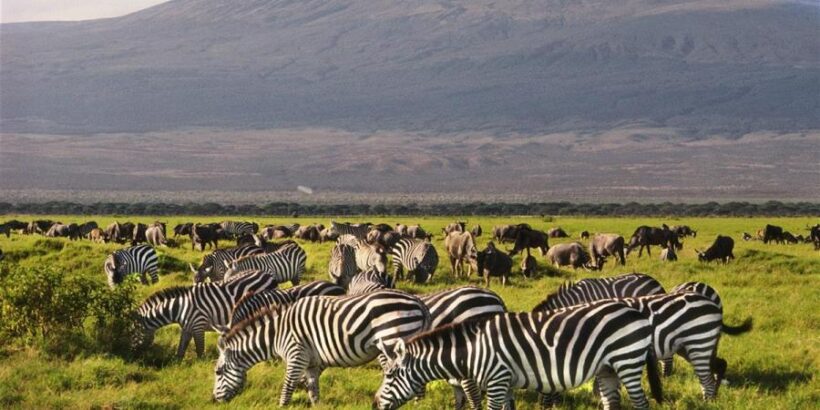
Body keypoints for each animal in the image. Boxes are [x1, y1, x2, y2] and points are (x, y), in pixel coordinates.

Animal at [134, 270, 279, 358]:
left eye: (132, 332)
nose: (135, 355)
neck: (179, 307)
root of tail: (269, 275)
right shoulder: (187, 328)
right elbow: (180, 351)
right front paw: (177, 366)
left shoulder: (198, 325)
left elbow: (200, 351)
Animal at [212, 290, 431, 404]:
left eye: (218, 372)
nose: (213, 399)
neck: (276, 334)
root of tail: (416, 300)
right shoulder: (311, 363)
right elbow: (313, 389)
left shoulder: (296, 354)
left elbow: (287, 387)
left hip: (394, 339)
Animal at [374, 301, 663, 410]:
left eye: (390, 375)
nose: (374, 405)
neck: (474, 349)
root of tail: (635, 311)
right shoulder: (507, 382)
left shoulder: (496, 379)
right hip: (607, 368)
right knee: (612, 402)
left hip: (627, 360)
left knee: (641, 403)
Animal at [534, 292, 753, 402]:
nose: (544, 406)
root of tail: (713, 304)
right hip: (690, 346)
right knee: (719, 364)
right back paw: (714, 396)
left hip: (699, 341)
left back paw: (710, 399)